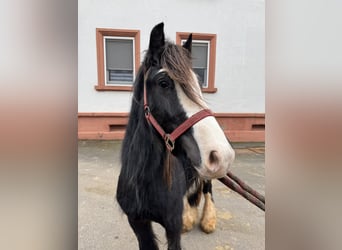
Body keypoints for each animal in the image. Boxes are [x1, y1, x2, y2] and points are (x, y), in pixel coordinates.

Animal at [117, 22, 235, 249]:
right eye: (164, 83)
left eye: (198, 84)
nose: (222, 154)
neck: (144, 183)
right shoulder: (138, 223)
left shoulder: (172, 228)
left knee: (207, 188)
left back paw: (208, 220)